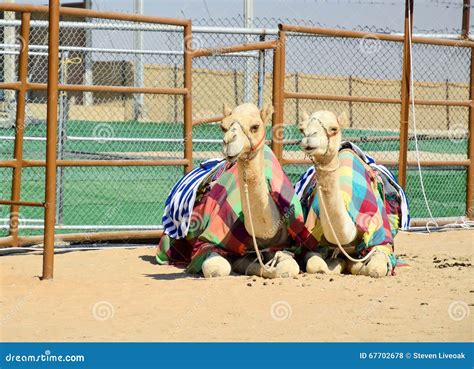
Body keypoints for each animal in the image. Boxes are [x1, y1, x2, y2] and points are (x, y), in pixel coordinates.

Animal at [296, 109, 404, 276]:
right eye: (302, 129)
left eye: (334, 128)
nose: (309, 138)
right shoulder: (312, 238)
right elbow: (315, 266)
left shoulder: (379, 237)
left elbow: (376, 268)